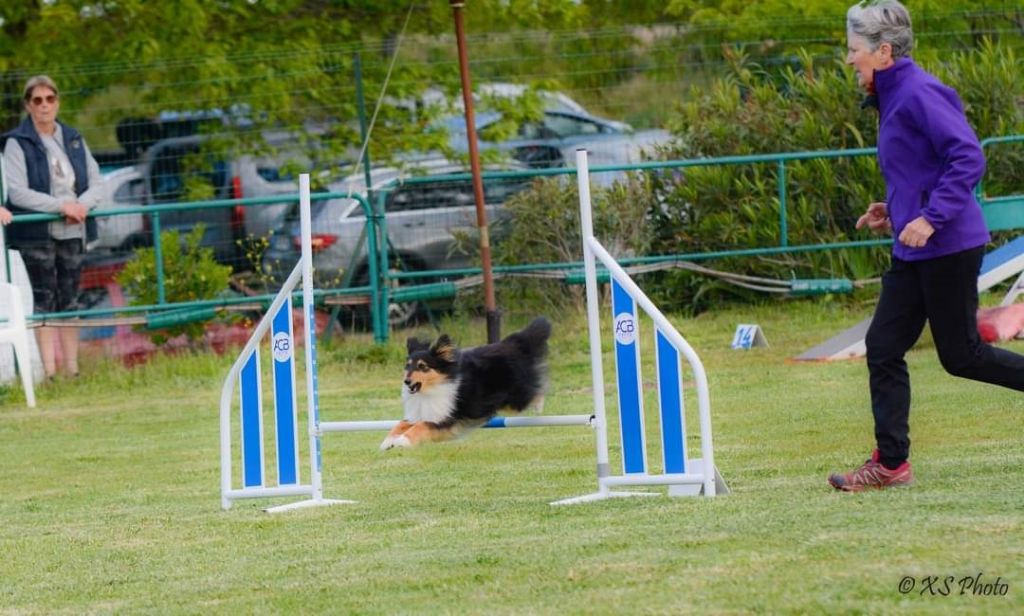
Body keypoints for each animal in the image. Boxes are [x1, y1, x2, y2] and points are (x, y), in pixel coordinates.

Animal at [378, 315, 552, 448]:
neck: (431, 390)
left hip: (515, 397)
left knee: (536, 388)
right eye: (408, 366)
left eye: (423, 366)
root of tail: (514, 341)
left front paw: (401, 441)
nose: (407, 381)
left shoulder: (445, 419)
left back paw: (539, 405)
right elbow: (401, 423)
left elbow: (421, 426)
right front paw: (387, 442)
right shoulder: (422, 413)